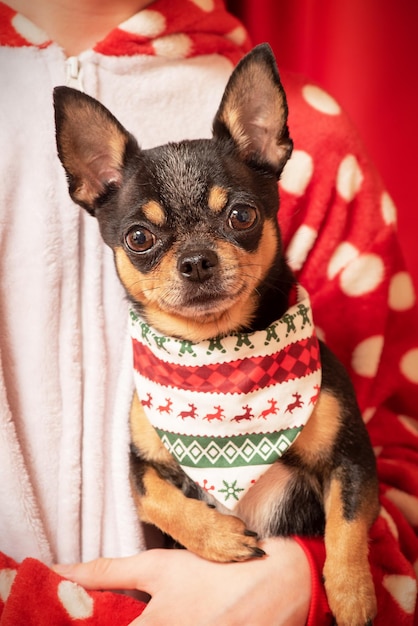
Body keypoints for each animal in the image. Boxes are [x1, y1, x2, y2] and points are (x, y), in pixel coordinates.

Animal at [54, 45, 378, 624]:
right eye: (139, 237)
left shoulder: (353, 460)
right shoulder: (142, 466)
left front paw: (352, 594)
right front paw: (221, 538)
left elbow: (347, 525)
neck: (216, 354)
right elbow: (156, 498)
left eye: (241, 215)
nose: (196, 260)